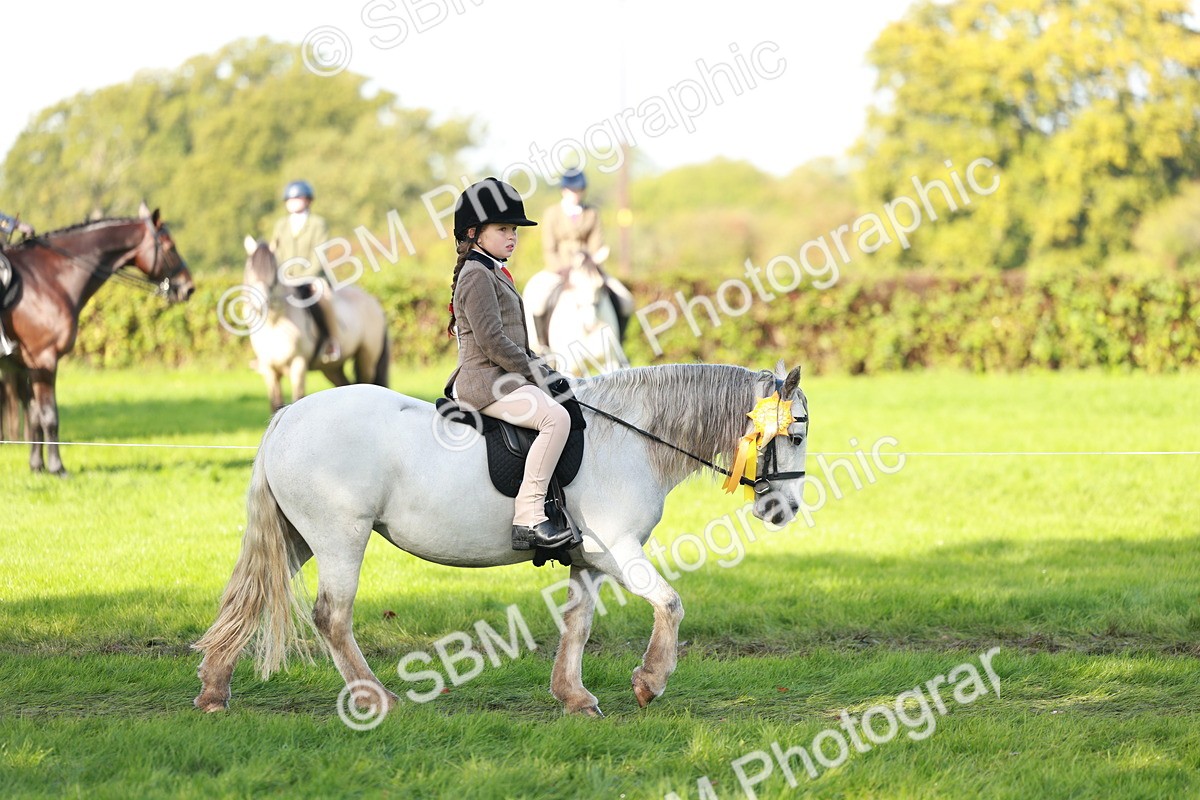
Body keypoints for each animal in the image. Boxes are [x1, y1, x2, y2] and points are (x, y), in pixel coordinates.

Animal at [0, 203, 194, 475]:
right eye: (170, 246)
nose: (188, 288)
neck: (48, 279)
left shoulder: (27, 364)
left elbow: (35, 416)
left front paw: (37, 467)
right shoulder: (44, 360)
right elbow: (50, 416)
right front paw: (58, 468)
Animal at [193, 361, 808, 717]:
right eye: (797, 433)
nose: (786, 510)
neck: (630, 438)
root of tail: (288, 416)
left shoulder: (588, 557)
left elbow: (578, 624)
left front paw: (573, 696)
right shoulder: (616, 548)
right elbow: (670, 603)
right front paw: (649, 682)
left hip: (299, 537)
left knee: (248, 600)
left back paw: (214, 691)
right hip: (340, 535)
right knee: (332, 617)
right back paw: (376, 698)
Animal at [240, 237, 389, 412]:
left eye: (273, 269)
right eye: (250, 267)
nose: (260, 304)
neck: (275, 323)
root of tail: (374, 303)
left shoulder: (299, 364)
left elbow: (298, 397)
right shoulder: (269, 370)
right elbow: (275, 403)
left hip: (367, 359)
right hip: (332, 368)